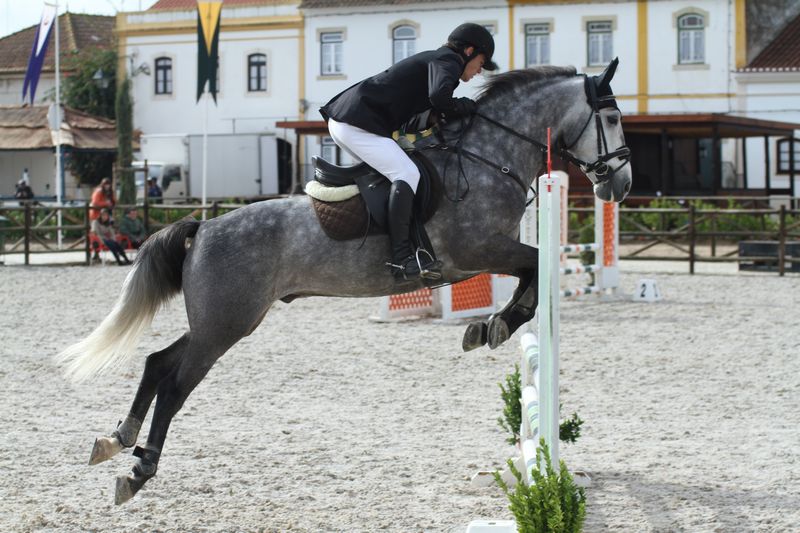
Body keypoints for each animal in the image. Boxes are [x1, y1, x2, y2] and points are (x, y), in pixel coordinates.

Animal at [57, 59, 632, 505]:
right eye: (610, 117)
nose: (620, 186)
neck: (489, 156)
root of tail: (204, 227)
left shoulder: (483, 256)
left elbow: (533, 273)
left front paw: (488, 327)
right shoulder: (478, 251)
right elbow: (535, 267)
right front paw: (493, 326)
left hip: (222, 320)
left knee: (158, 362)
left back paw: (116, 439)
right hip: (225, 325)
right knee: (176, 385)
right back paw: (138, 469)